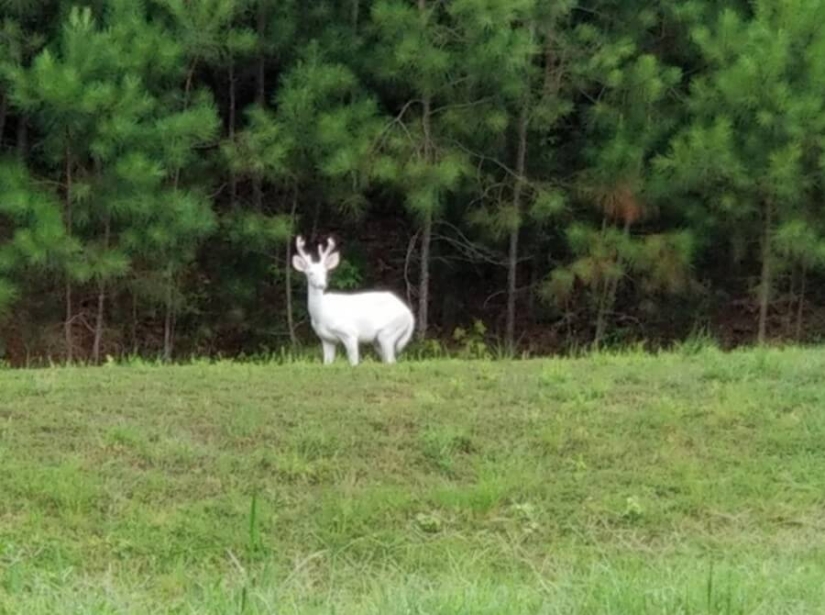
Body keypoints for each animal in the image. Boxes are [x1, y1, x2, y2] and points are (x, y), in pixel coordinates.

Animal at [292, 233, 416, 364]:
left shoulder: (349, 333)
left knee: (391, 360)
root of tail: (410, 316)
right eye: (310, 273)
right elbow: (327, 362)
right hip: (378, 340)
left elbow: (354, 361)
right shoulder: (326, 339)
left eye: (325, 272)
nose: (322, 285)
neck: (321, 315)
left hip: (388, 332)